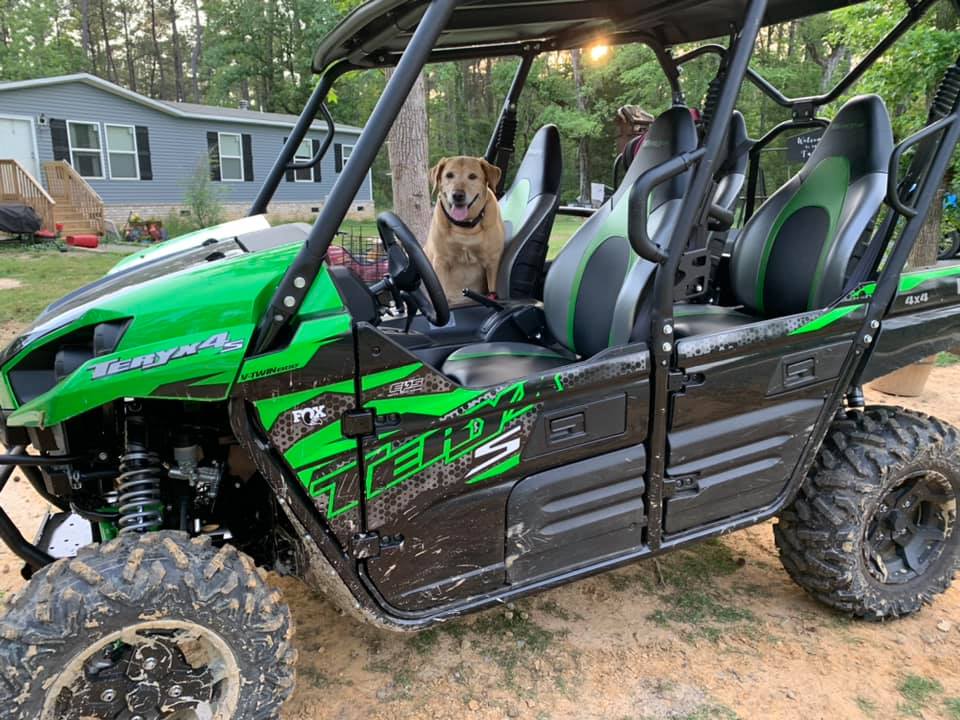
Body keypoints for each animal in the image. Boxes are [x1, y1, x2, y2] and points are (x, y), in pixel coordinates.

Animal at [426, 156, 506, 306]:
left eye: (472, 176)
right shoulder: (440, 261)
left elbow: (492, 288)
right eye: (449, 175)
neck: (465, 227)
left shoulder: (492, 262)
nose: (457, 195)